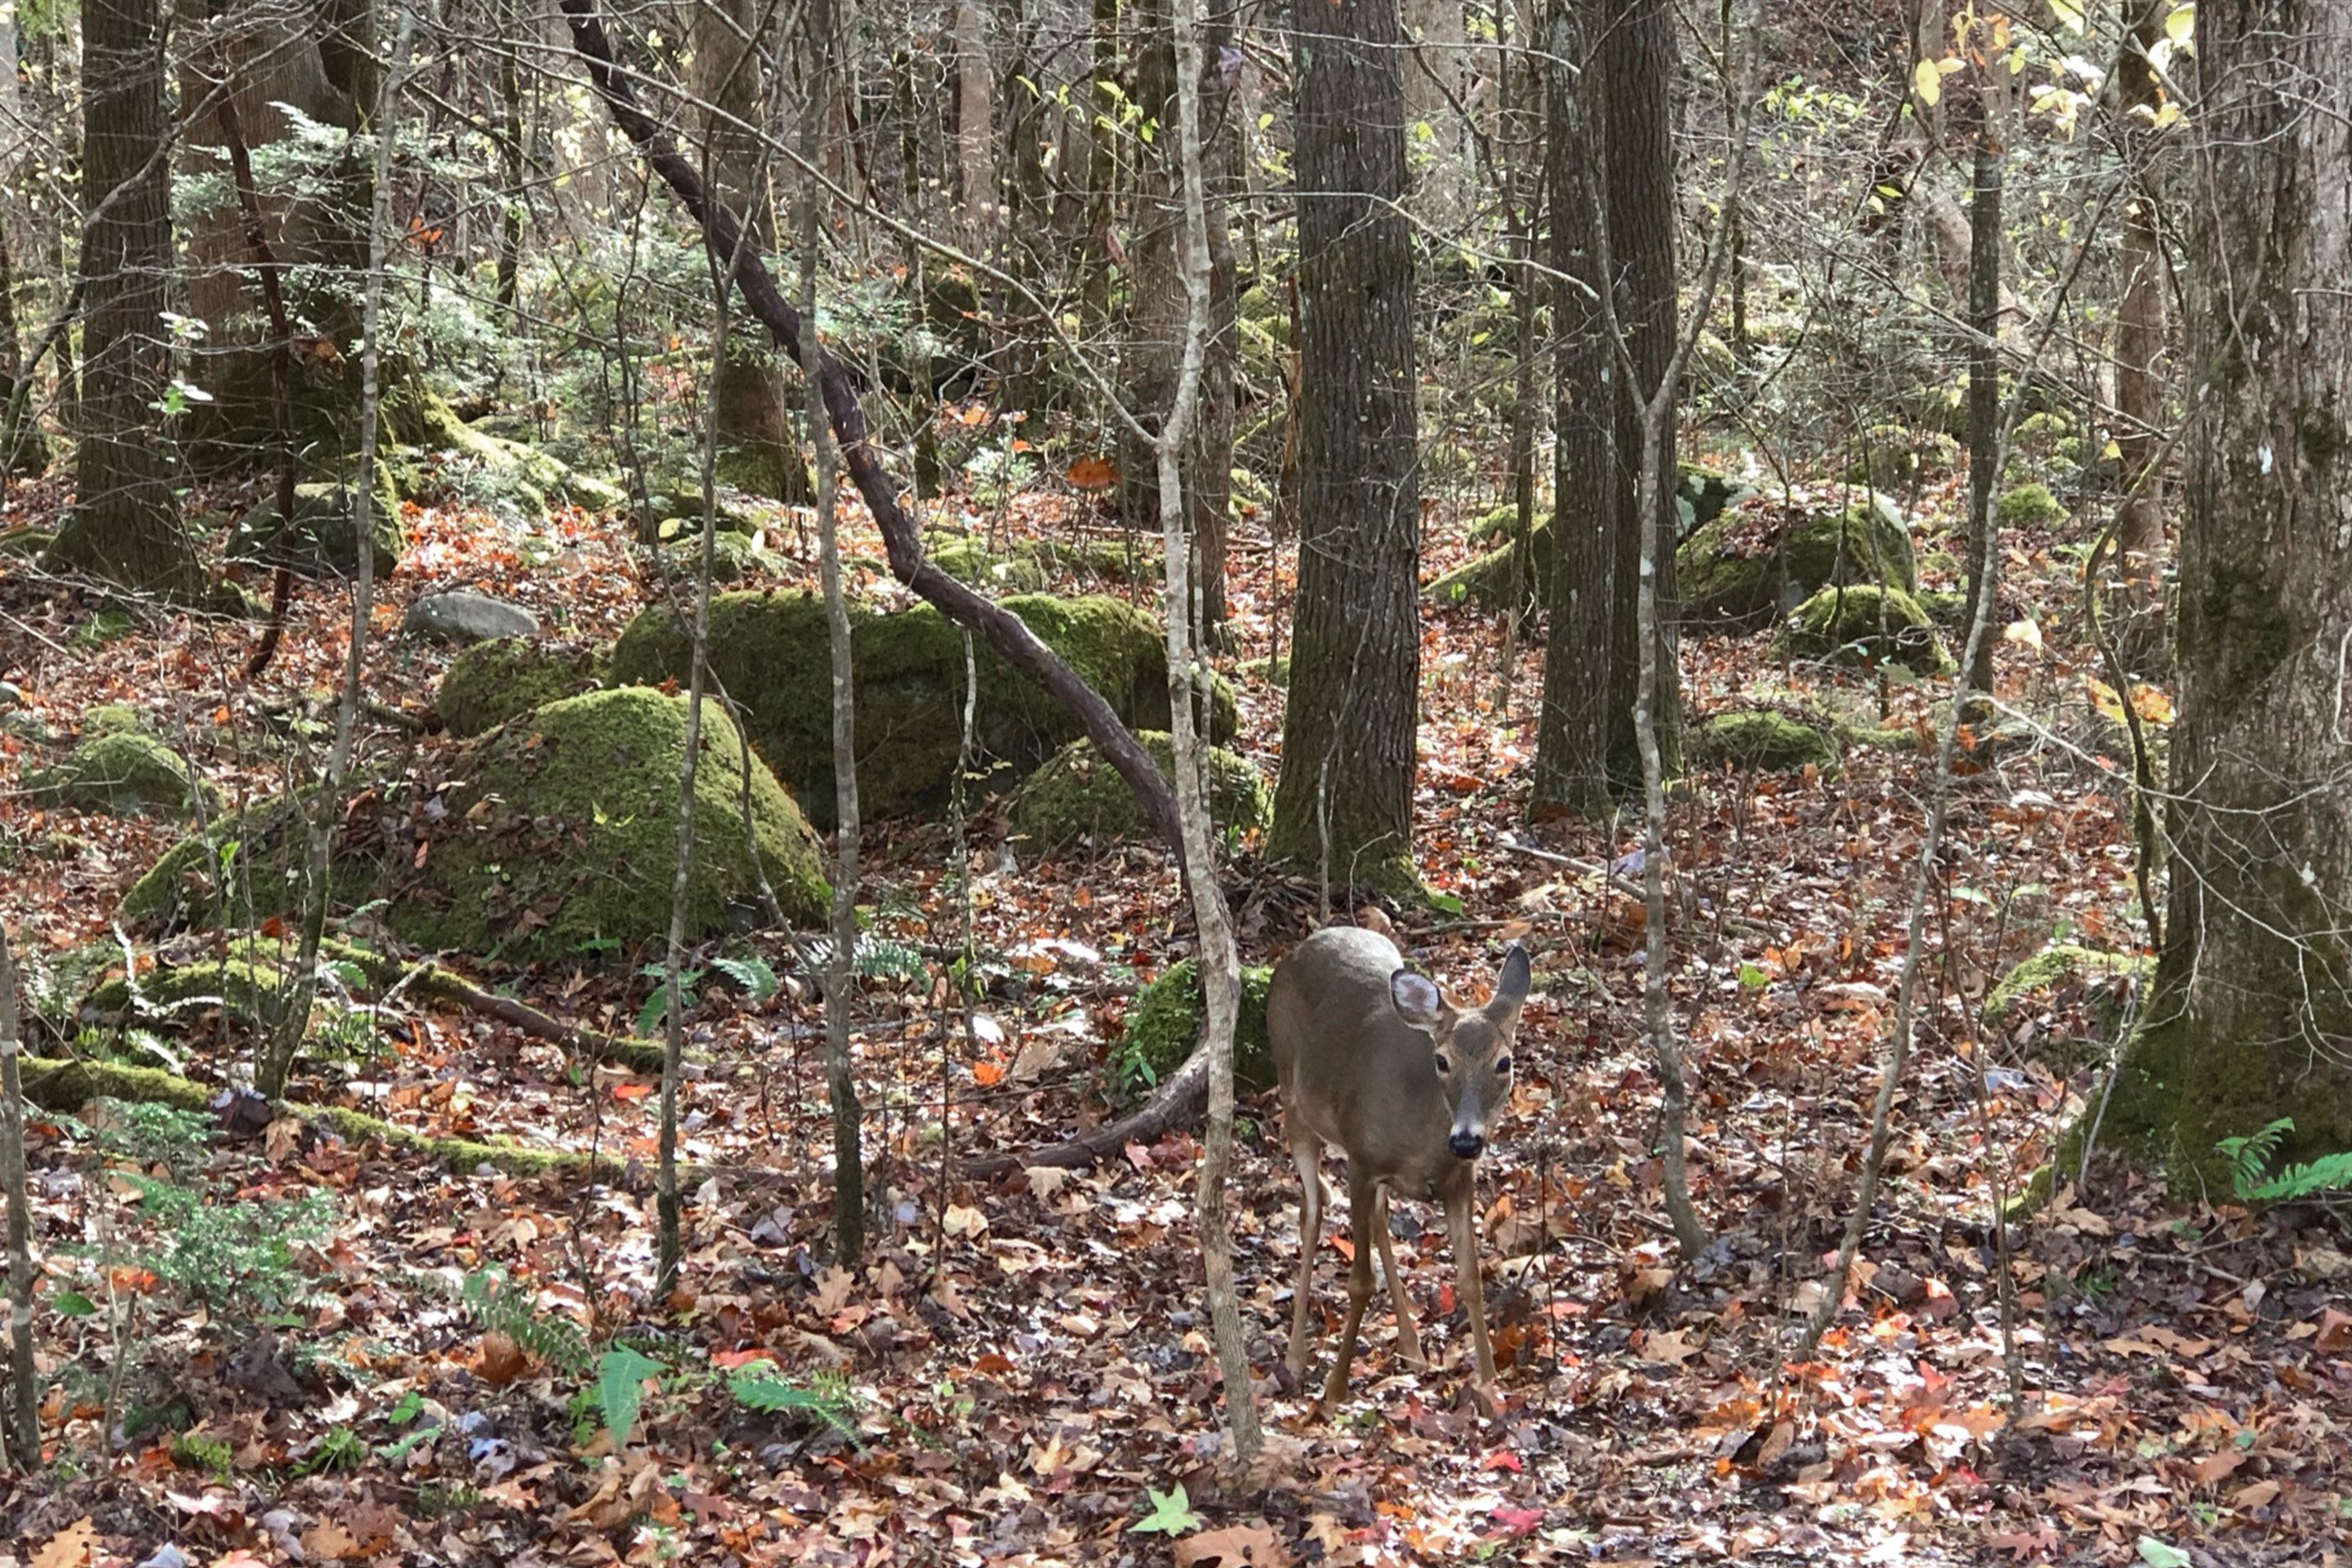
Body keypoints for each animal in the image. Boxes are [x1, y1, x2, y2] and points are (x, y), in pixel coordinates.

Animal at [1269, 924, 1530, 1417]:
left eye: (1504, 1062)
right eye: (1442, 1060)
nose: (1466, 1140)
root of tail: (1297, 949)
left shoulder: (1458, 1180)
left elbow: (1470, 1278)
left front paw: (1489, 1386)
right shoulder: (1360, 1161)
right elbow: (1359, 1281)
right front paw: (1334, 1391)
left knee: (1379, 1220)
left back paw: (1412, 1347)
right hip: (1292, 1098)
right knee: (1311, 1212)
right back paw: (1293, 1355)